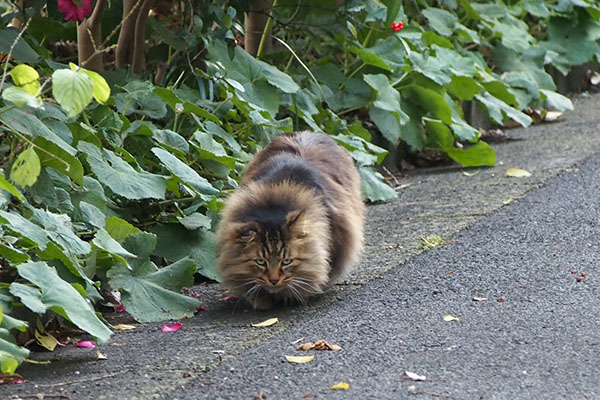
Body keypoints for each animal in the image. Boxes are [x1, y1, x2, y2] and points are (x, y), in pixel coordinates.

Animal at [217, 131, 366, 310]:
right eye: (261, 262)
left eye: (286, 261)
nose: (274, 280)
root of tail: (308, 132)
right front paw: (262, 299)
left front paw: (290, 297)